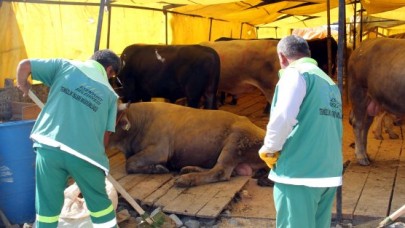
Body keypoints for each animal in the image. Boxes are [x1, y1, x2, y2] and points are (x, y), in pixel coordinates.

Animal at [105, 102, 266, 187]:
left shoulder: (159, 150)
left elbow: (129, 163)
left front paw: (157, 168)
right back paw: (189, 169)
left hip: (235, 142)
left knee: (221, 171)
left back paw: (186, 179)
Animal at [348, 37, 404, 166]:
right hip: (358, 92)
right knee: (357, 123)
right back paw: (361, 156)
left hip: (372, 102)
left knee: (366, 124)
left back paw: (366, 153)